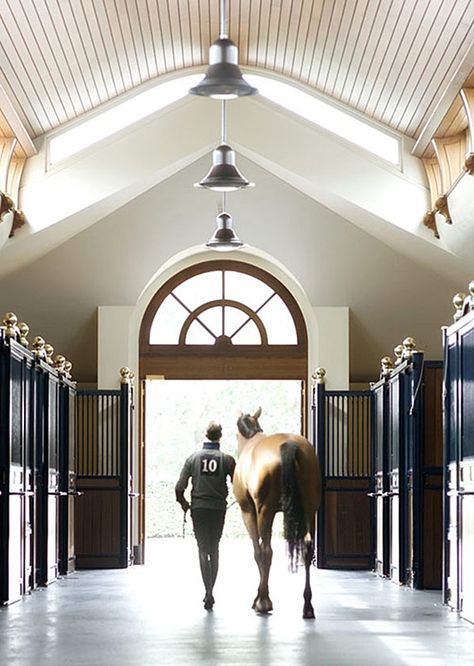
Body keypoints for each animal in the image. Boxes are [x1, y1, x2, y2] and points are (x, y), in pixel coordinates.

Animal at [233, 404, 322, 616]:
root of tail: (290, 445)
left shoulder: (249, 511)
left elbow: (258, 551)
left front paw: (260, 598)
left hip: (264, 511)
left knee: (266, 552)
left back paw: (263, 602)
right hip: (309, 510)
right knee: (307, 548)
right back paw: (307, 605)